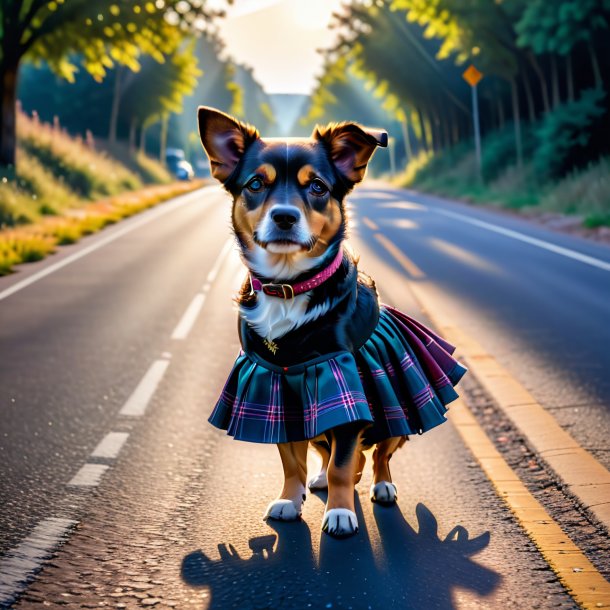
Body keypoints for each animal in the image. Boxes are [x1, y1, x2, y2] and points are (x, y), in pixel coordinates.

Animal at [197, 107, 464, 536]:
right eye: (256, 183)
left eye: (318, 187)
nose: (284, 217)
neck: (288, 287)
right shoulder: (276, 389)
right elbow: (292, 460)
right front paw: (290, 499)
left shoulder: (345, 384)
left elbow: (344, 464)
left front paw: (340, 512)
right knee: (332, 453)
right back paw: (320, 479)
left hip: (397, 416)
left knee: (378, 455)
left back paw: (382, 486)